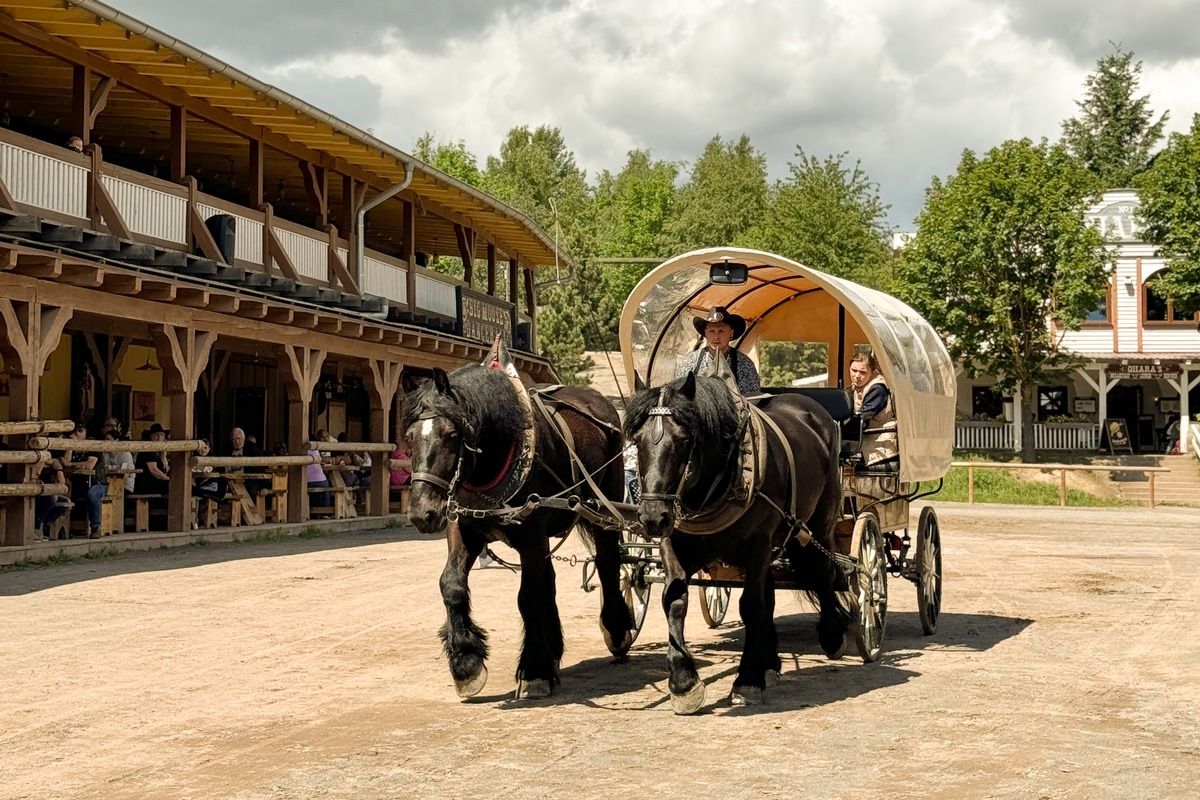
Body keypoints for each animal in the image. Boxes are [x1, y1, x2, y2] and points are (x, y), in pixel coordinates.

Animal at [400, 367, 633, 700]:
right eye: (409, 437)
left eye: (451, 435)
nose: (422, 513)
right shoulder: (463, 527)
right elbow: (452, 585)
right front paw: (466, 663)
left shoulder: (532, 533)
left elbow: (529, 596)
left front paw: (535, 670)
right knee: (552, 580)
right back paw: (554, 650)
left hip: (605, 508)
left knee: (607, 562)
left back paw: (617, 630)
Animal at [624, 371, 849, 714]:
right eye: (638, 441)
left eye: (684, 440)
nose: (652, 517)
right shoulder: (674, 543)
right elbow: (674, 599)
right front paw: (683, 682)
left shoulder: (757, 543)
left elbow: (751, 606)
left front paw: (747, 680)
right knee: (771, 593)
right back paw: (770, 663)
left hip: (817, 526)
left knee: (823, 574)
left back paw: (832, 635)